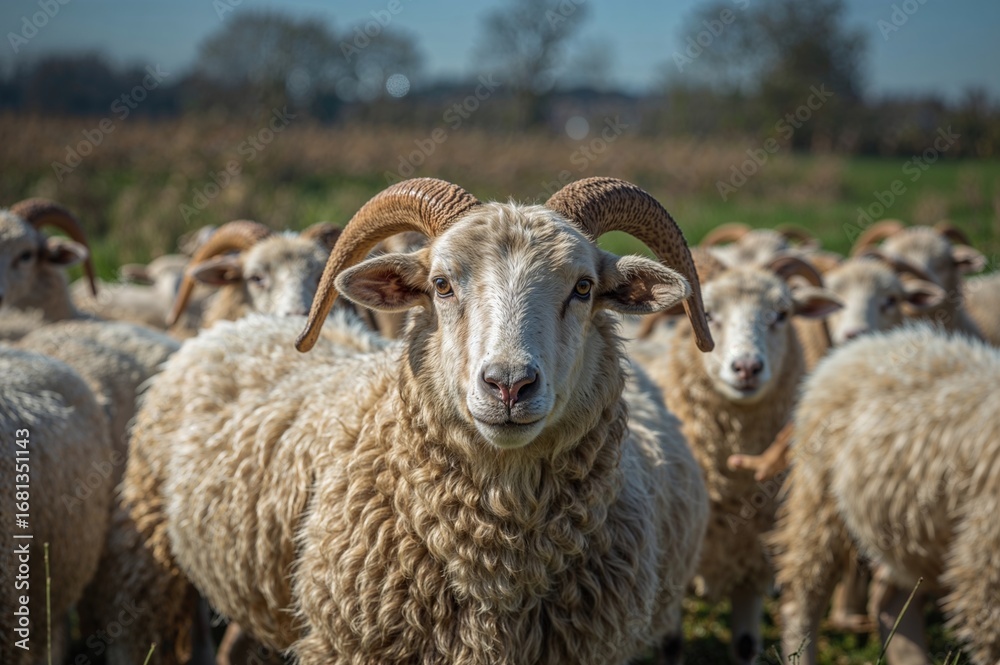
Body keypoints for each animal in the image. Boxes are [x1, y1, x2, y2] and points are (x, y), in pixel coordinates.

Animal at [631, 254, 842, 664]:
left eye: (782, 314)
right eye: (708, 313)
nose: (747, 368)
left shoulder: (752, 565)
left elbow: (745, 646)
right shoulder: (676, 566)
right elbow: (670, 645)